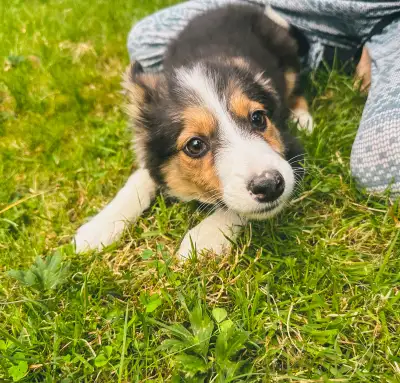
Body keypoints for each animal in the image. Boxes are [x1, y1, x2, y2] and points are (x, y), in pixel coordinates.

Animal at [74, 3, 312, 260]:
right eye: (195, 145)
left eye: (257, 118)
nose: (269, 186)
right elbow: (140, 177)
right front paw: (99, 227)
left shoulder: (292, 154)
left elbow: (236, 206)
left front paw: (204, 237)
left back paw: (302, 118)